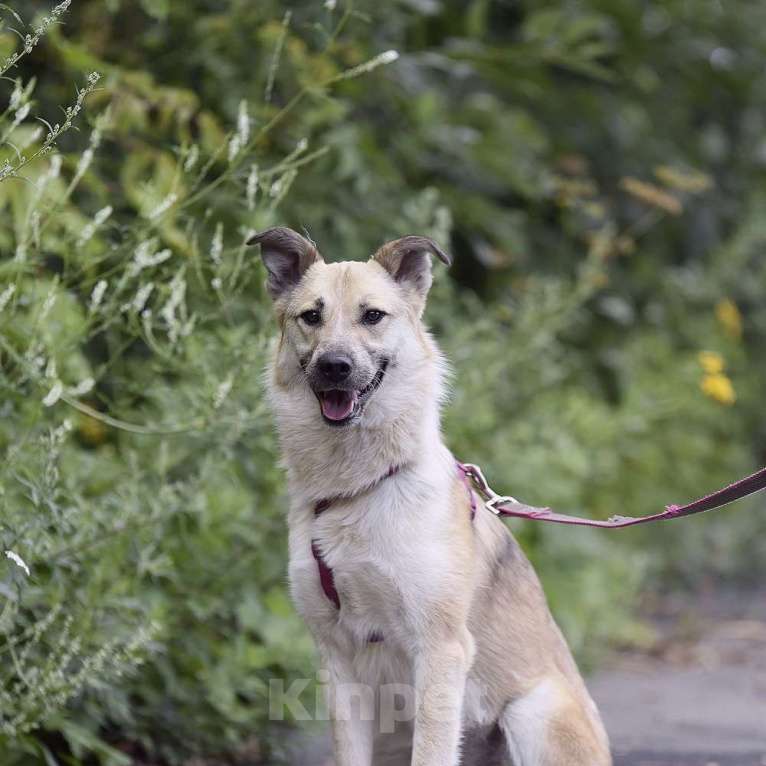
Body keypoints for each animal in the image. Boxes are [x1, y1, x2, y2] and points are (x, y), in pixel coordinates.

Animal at [249, 228, 616, 766]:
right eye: (311, 316)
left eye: (372, 315)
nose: (334, 367)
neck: (358, 489)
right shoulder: (338, 662)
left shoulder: (440, 649)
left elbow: (432, 749)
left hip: (532, 711)